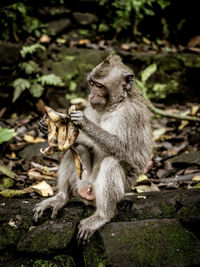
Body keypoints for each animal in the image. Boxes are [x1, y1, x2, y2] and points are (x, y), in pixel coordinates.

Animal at [33, 55, 152, 244]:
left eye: (100, 86)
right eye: (92, 83)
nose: (91, 95)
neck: (114, 105)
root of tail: (89, 194)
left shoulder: (131, 115)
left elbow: (123, 150)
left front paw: (83, 121)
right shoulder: (93, 106)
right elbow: (83, 143)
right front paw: (47, 127)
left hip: (111, 192)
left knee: (111, 162)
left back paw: (103, 215)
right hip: (83, 183)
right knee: (77, 150)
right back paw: (62, 197)